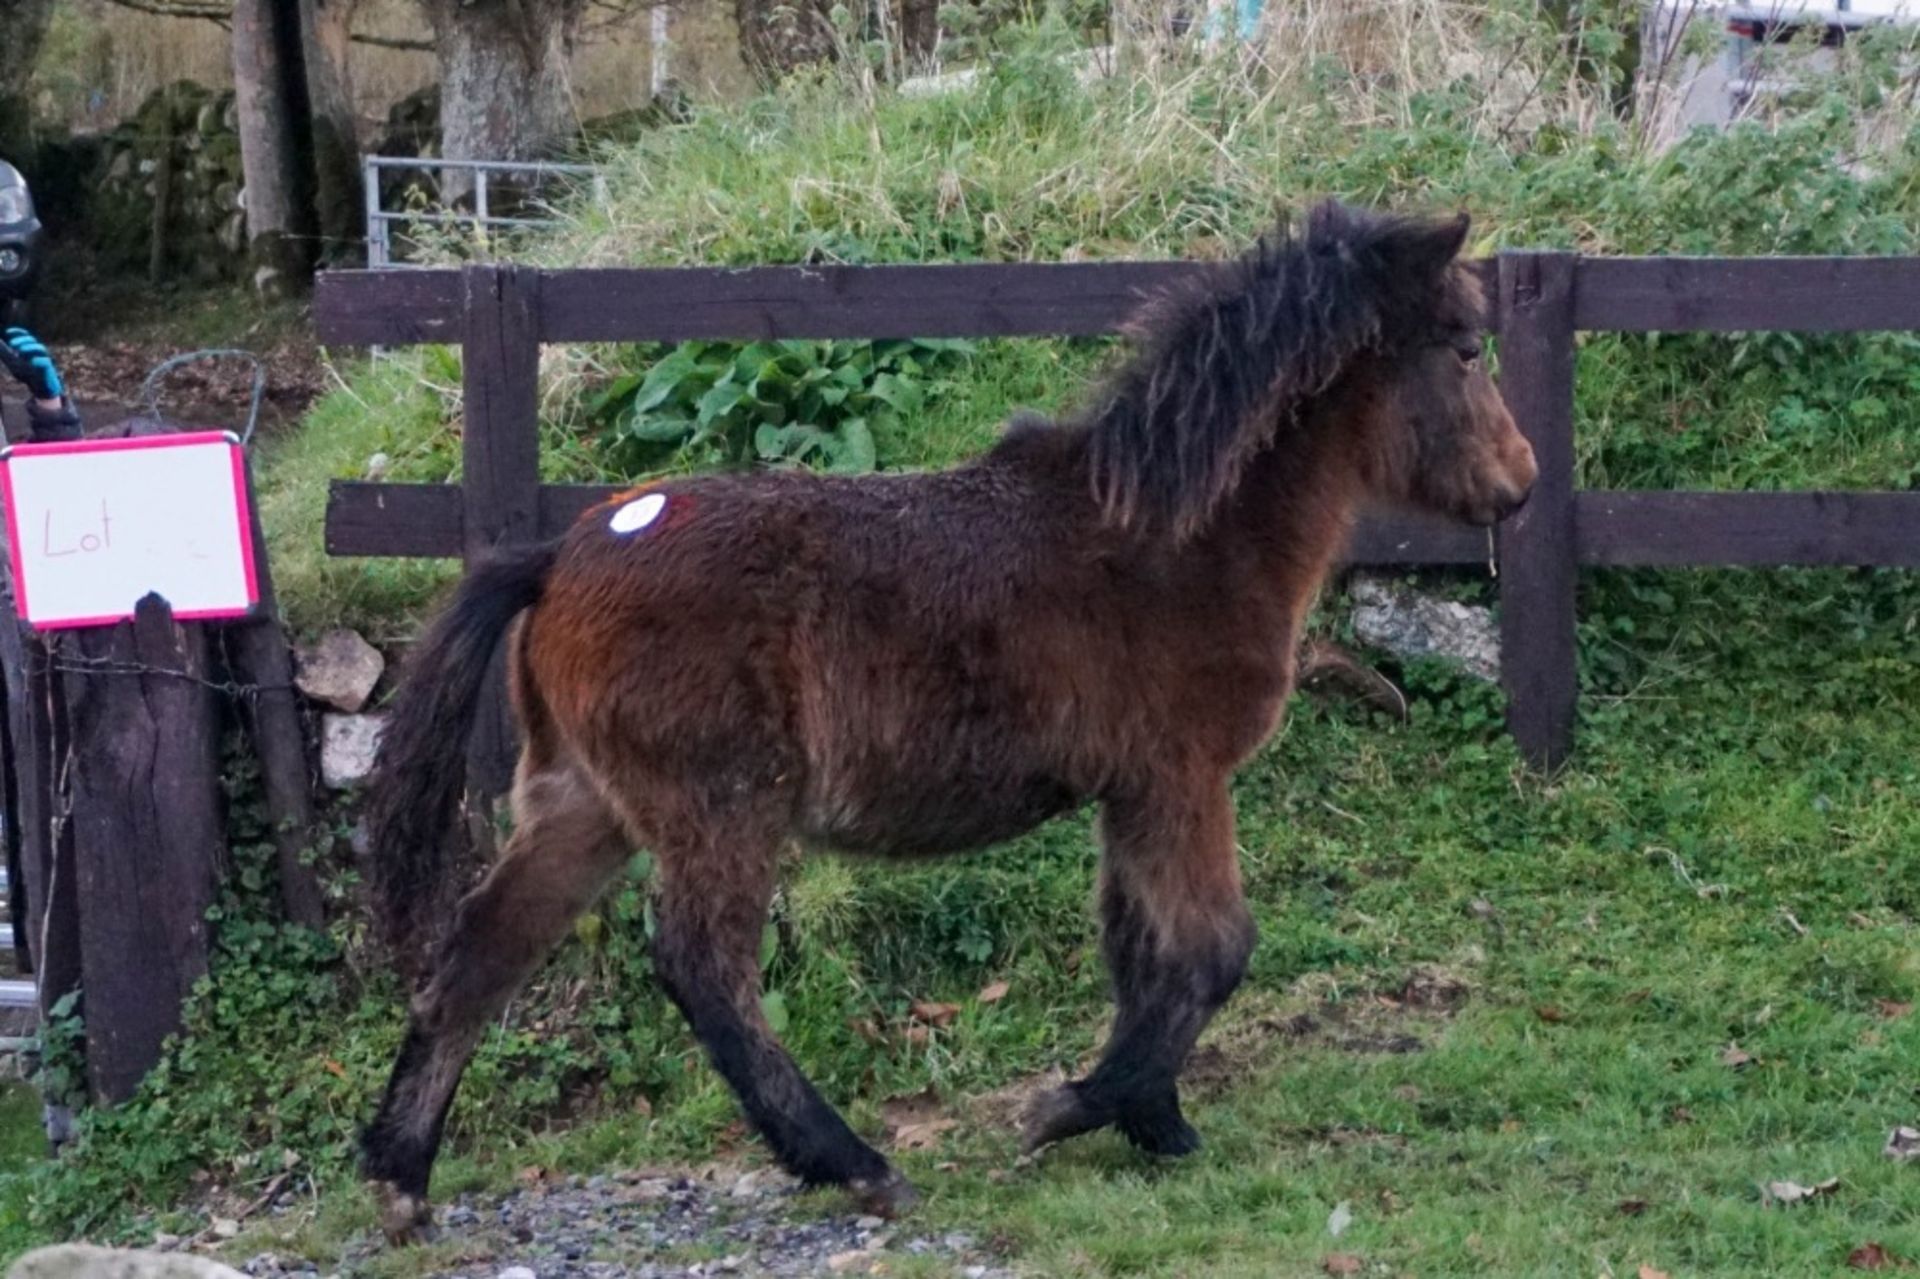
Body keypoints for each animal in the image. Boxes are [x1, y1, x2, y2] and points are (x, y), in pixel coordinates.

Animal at [357, 201, 1528, 1236]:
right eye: (1468, 348)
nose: (1519, 485)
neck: (1175, 536)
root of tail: (558, 556)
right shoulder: (1180, 776)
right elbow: (1212, 952)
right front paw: (1072, 1108)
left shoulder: (1128, 794)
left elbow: (1140, 952)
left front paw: (1154, 1120)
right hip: (719, 809)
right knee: (704, 967)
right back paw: (853, 1164)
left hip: (583, 807)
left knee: (479, 955)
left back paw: (401, 1178)